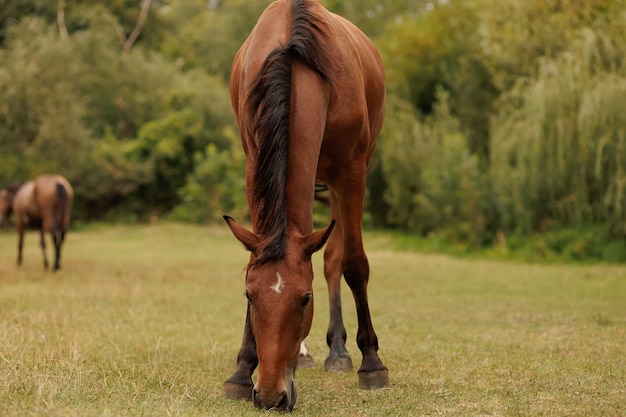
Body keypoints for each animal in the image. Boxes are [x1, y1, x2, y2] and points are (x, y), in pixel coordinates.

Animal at [223, 0, 390, 410]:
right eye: (249, 295)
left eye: (305, 299)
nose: (270, 395)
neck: (294, 56)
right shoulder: (255, 163)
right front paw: (241, 370)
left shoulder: (351, 170)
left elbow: (353, 264)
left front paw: (372, 363)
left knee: (333, 260)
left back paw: (339, 352)